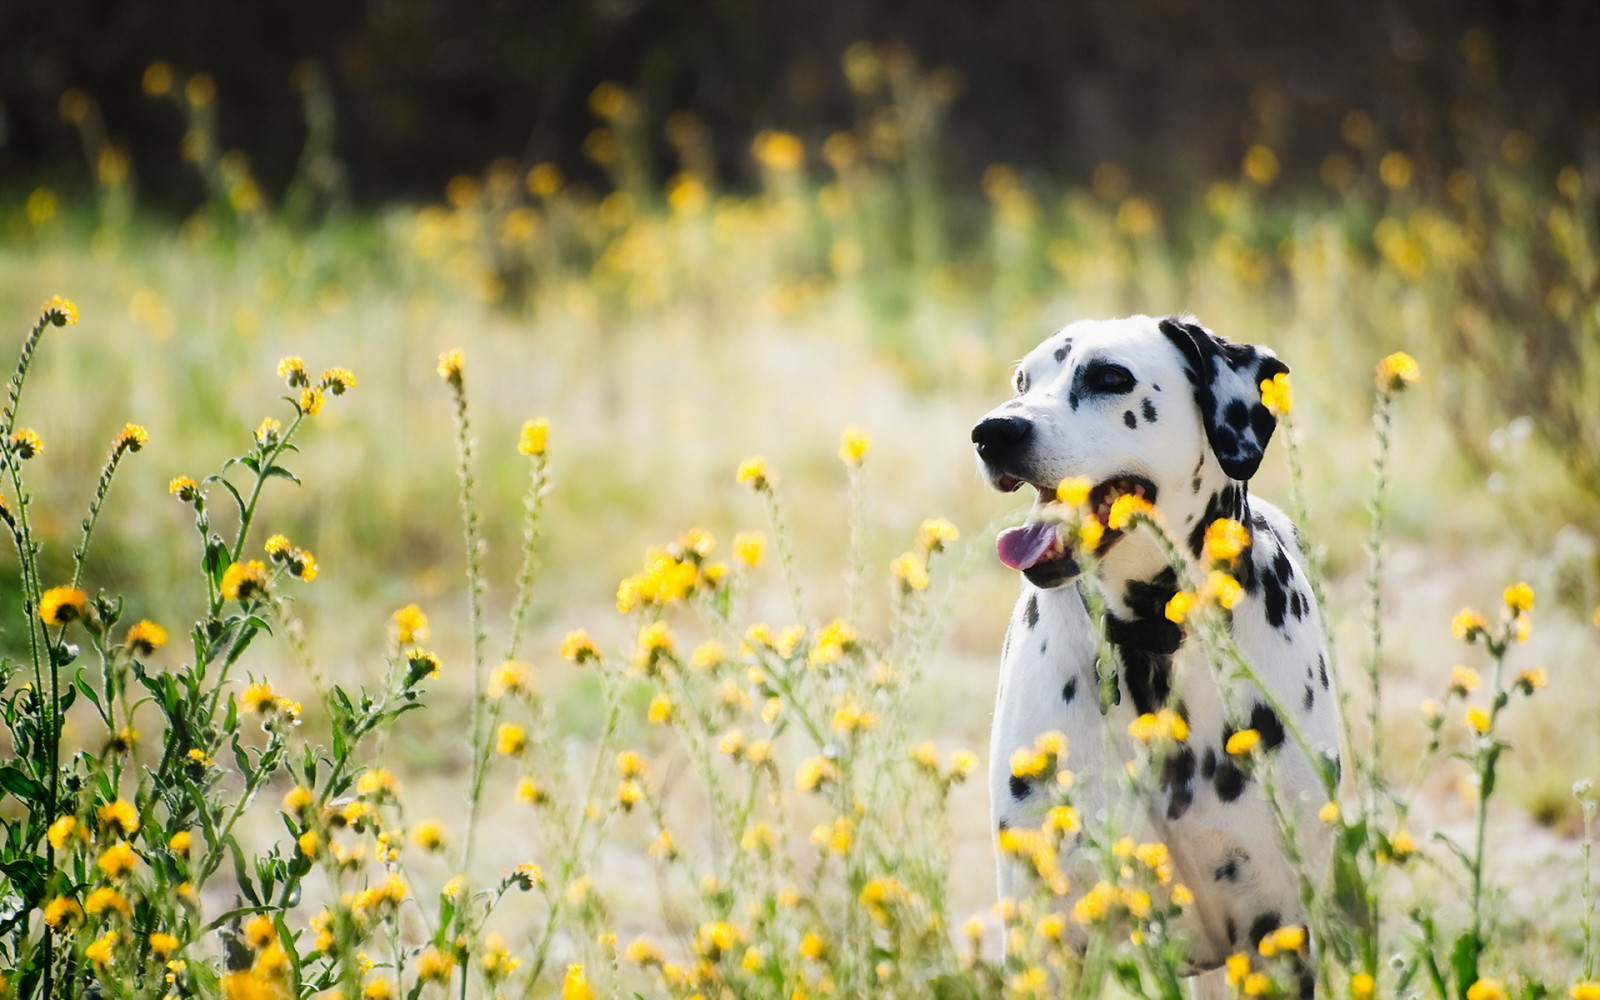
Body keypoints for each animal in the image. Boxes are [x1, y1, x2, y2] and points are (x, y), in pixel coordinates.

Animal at [972, 315, 1337, 992]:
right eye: (1023, 381)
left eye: (1111, 377)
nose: (993, 432)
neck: (1149, 638)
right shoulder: (1048, 944)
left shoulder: (1276, 932)